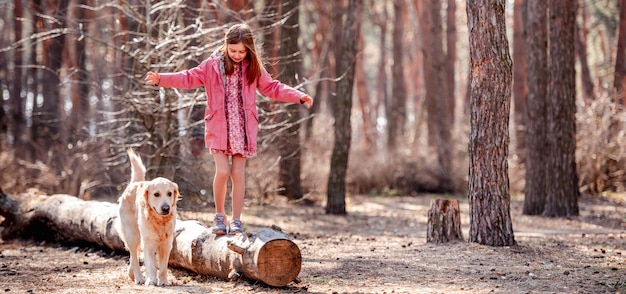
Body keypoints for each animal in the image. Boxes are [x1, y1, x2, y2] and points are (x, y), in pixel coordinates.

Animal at [116, 148, 178, 286]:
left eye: (169, 193)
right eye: (156, 194)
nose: (166, 208)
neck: (159, 221)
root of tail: (134, 183)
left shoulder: (166, 244)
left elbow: (163, 267)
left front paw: (163, 281)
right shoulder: (148, 241)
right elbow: (150, 265)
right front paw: (151, 280)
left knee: (133, 257)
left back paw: (132, 275)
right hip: (132, 236)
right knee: (134, 257)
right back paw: (139, 277)